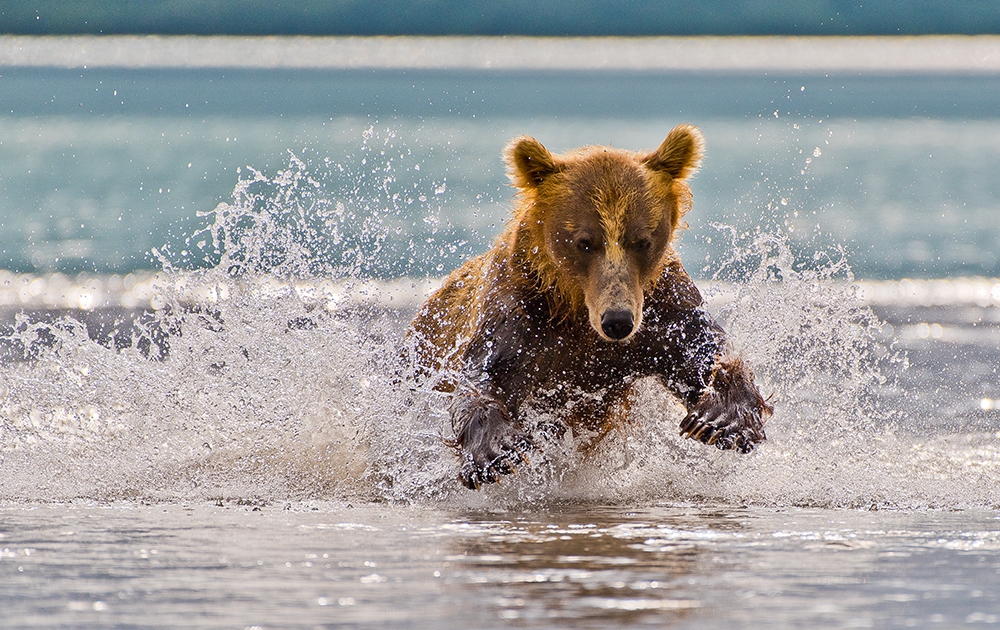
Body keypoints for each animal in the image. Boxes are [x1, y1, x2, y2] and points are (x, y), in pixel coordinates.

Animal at [406, 124, 772, 489]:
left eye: (641, 240)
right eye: (584, 242)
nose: (617, 320)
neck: (576, 308)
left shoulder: (661, 312)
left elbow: (703, 352)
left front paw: (719, 420)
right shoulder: (519, 312)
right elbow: (485, 375)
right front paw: (496, 451)